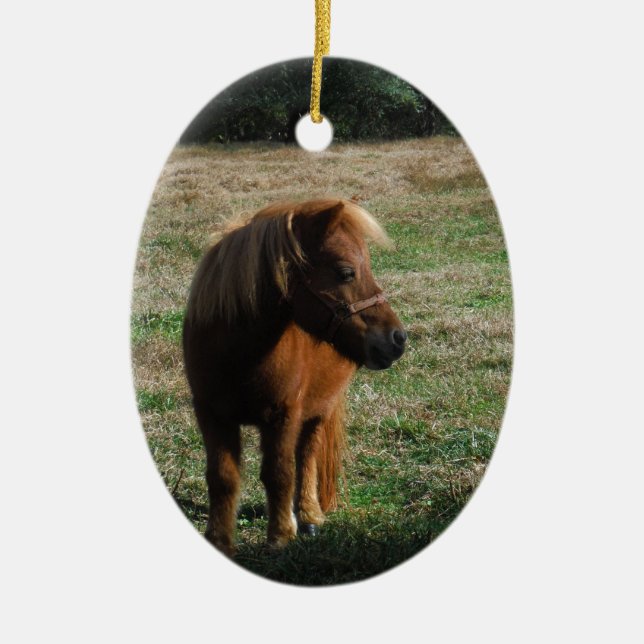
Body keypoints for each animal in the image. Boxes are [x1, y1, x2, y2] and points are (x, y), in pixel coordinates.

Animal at [183, 198, 407, 556]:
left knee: (307, 455)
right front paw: (219, 540)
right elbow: (222, 478)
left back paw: (308, 514)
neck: (238, 353)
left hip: (320, 409)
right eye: (345, 272)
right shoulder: (211, 414)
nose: (398, 339)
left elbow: (280, 473)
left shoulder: (284, 414)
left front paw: (280, 537)